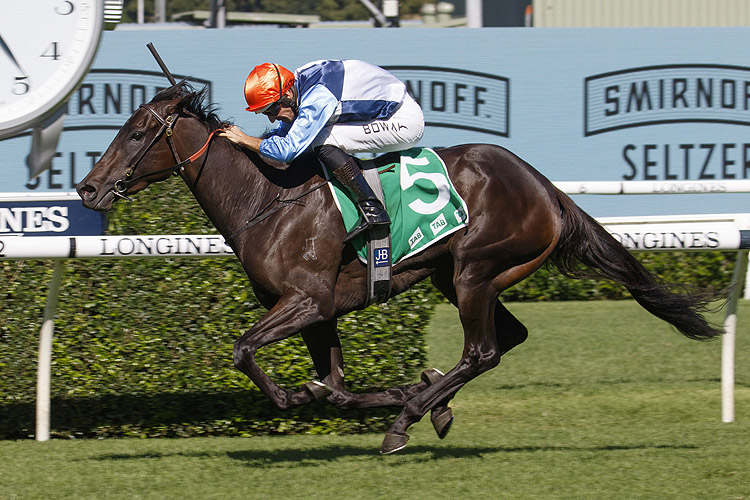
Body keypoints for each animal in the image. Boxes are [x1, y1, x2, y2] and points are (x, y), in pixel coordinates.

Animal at [75, 84, 724, 456]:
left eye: (137, 131)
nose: (88, 188)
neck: (268, 198)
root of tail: (546, 187)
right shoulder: (319, 313)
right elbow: (337, 390)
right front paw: (398, 389)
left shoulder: (307, 301)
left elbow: (243, 350)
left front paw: (297, 395)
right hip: (464, 275)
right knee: (507, 339)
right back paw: (431, 404)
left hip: (474, 269)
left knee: (483, 351)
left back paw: (409, 421)